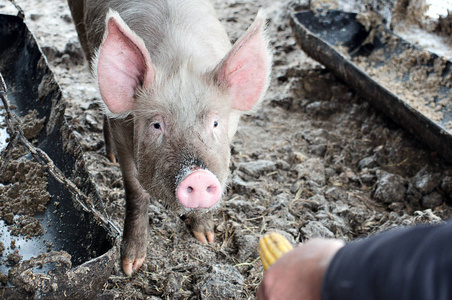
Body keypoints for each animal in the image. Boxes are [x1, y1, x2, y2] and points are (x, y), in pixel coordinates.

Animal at [67, 0, 272, 276]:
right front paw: (130, 266)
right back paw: (109, 158)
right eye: (156, 125)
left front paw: (206, 238)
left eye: (215, 123)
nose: (198, 176)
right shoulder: (123, 131)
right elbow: (136, 191)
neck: (180, 60)